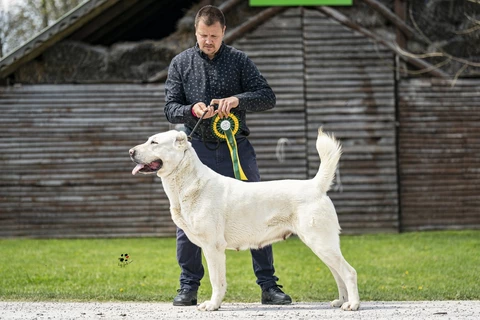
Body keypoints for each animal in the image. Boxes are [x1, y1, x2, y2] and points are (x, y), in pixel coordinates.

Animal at [129, 128, 358, 312]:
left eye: (154, 142)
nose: (130, 152)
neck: (189, 181)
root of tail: (315, 185)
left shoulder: (213, 248)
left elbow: (216, 280)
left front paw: (212, 305)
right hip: (322, 245)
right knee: (338, 273)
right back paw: (341, 301)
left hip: (321, 243)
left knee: (349, 272)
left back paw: (353, 305)